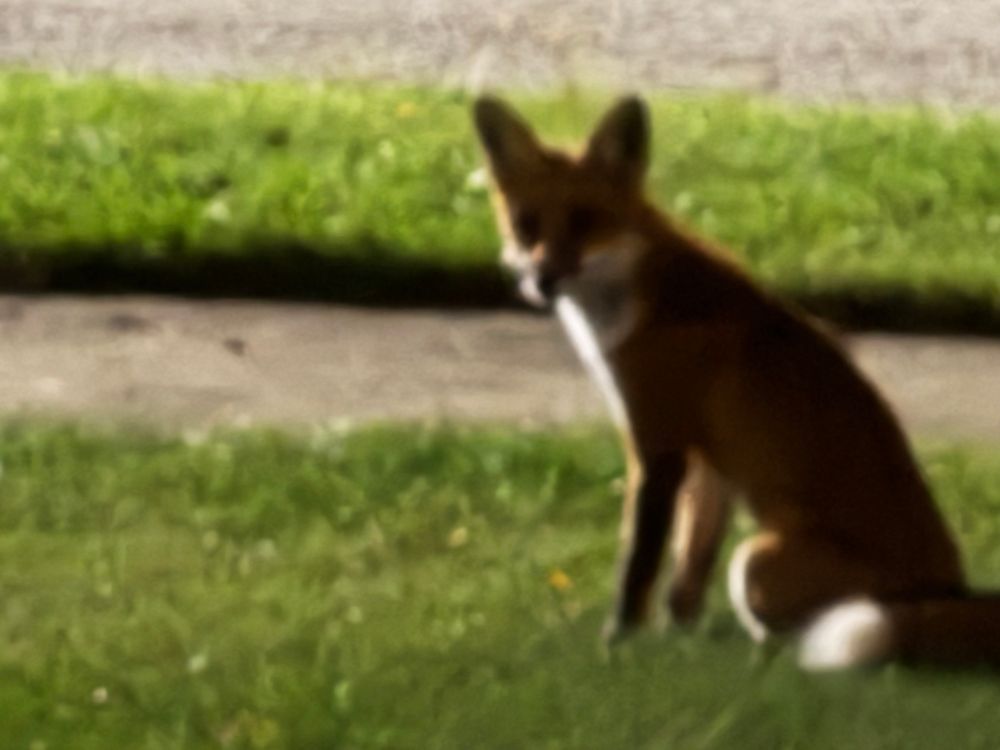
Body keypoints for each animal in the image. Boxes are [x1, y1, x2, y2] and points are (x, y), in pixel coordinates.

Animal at [472, 94, 1000, 670]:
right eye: (526, 226)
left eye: (585, 221)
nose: (542, 282)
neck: (635, 294)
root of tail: (948, 590)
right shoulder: (708, 463)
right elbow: (687, 572)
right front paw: (678, 644)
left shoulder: (658, 446)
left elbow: (637, 567)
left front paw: (619, 643)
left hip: (757, 560)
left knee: (797, 631)